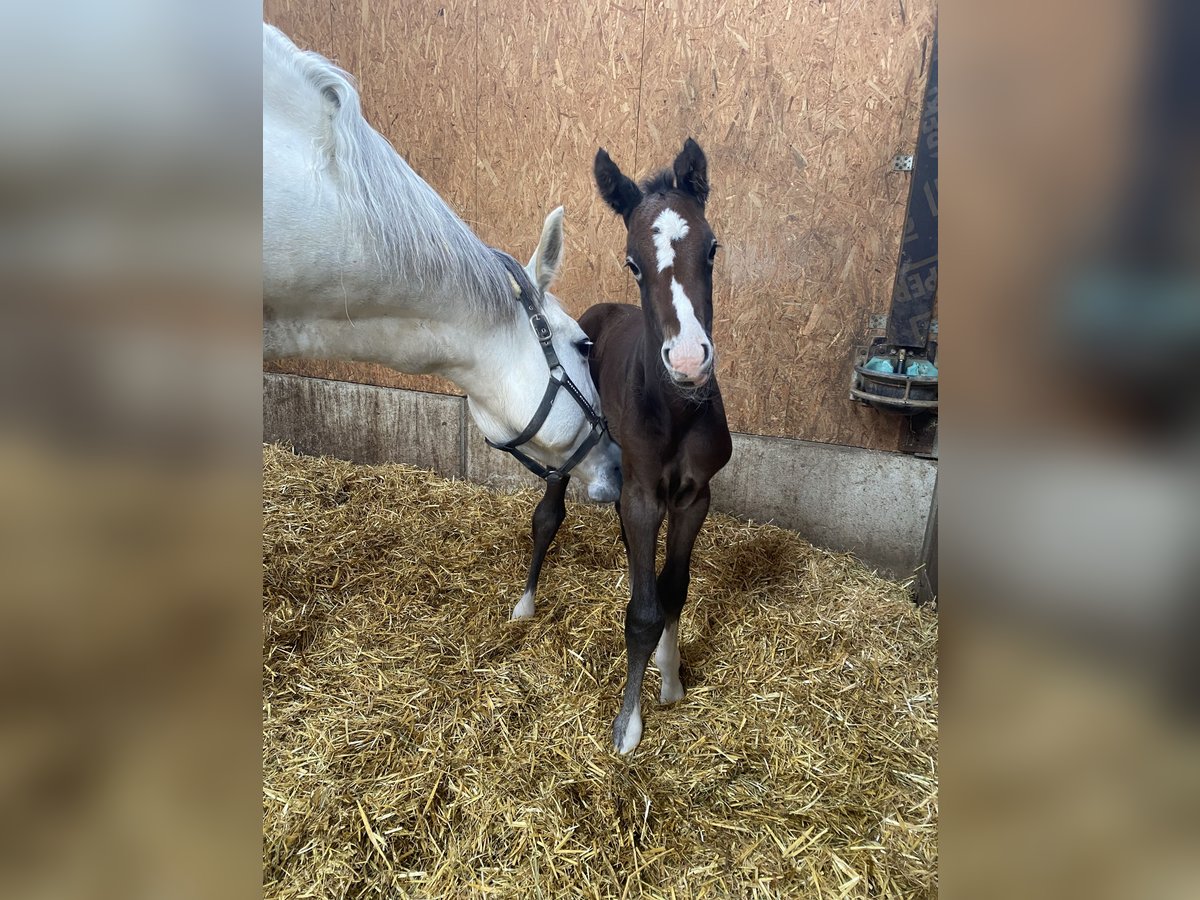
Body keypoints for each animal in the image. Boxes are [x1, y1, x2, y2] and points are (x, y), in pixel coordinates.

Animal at [513, 139, 729, 753]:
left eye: (712, 249)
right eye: (633, 262)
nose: (689, 361)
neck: (676, 411)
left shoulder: (693, 497)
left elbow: (672, 590)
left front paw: (671, 679)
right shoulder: (641, 494)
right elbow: (642, 612)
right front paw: (628, 723)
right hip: (572, 453)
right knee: (547, 517)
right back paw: (526, 602)